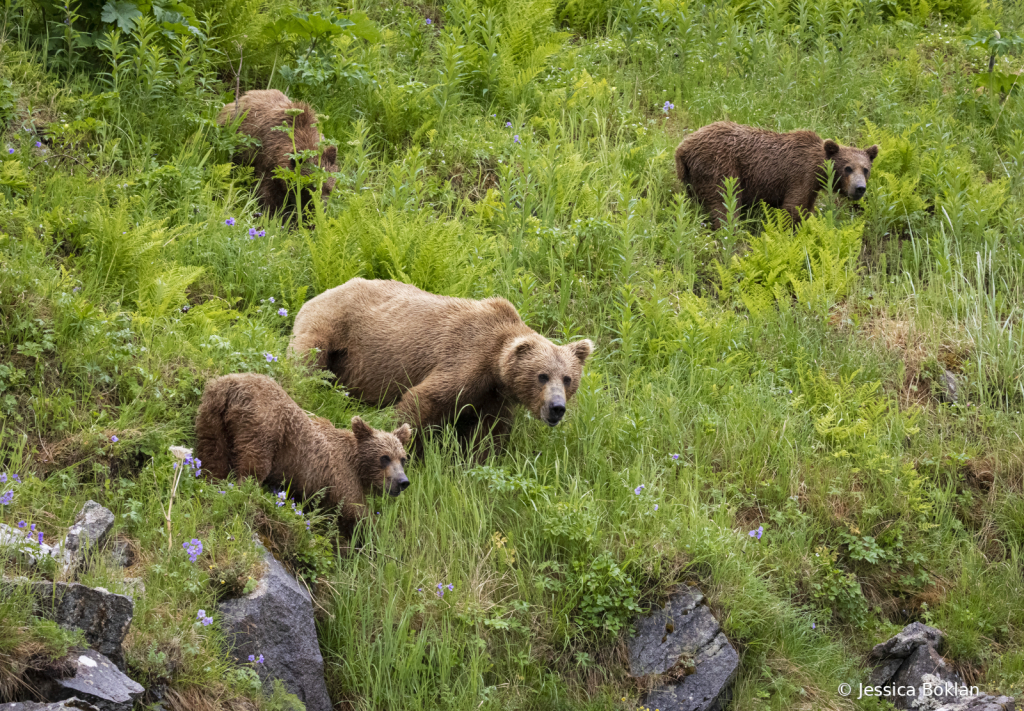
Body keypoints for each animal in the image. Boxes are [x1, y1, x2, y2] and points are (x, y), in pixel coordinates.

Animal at [193, 377, 409, 536]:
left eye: (403, 458)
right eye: (385, 457)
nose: (403, 481)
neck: (358, 465)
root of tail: (232, 386)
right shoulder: (342, 475)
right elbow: (354, 509)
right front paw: (376, 530)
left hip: (212, 415)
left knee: (212, 453)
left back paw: (211, 481)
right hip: (263, 425)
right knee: (253, 465)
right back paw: (245, 492)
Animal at [286, 280, 593, 456]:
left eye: (567, 379)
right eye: (542, 376)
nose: (556, 407)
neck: (496, 369)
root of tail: (328, 289)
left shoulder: (494, 398)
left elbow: (488, 435)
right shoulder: (465, 360)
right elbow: (423, 400)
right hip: (333, 326)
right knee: (308, 356)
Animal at [671, 122, 880, 227]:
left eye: (865, 169)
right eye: (848, 168)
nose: (860, 188)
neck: (819, 171)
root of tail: (682, 147)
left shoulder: (811, 187)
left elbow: (805, 209)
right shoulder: (800, 176)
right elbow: (792, 209)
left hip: (692, 178)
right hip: (720, 166)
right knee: (726, 205)